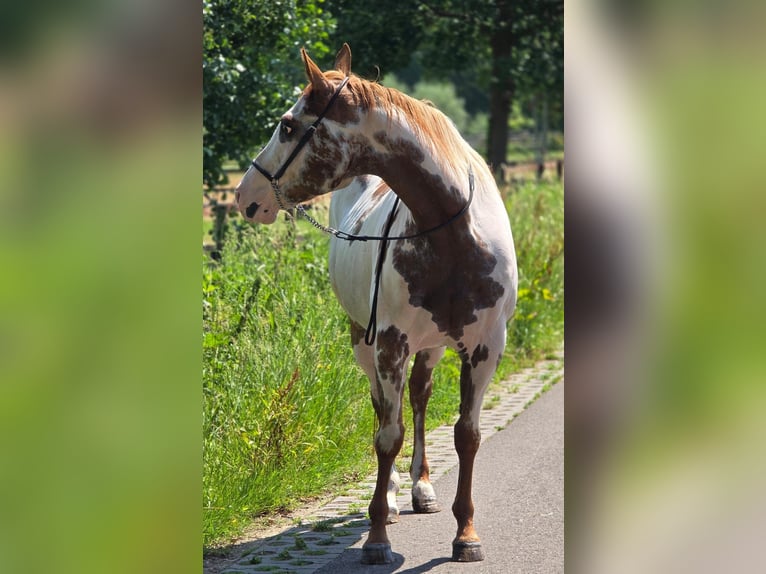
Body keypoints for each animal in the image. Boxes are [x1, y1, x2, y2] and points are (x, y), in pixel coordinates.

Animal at [235, 44, 517, 564]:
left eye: (287, 125)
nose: (246, 195)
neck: (453, 233)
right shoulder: (388, 343)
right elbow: (388, 435)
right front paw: (377, 536)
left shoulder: (485, 348)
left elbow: (466, 436)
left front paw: (466, 533)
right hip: (364, 340)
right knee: (385, 407)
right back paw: (388, 496)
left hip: (432, 345)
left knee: (419, 397)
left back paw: (421, 487)